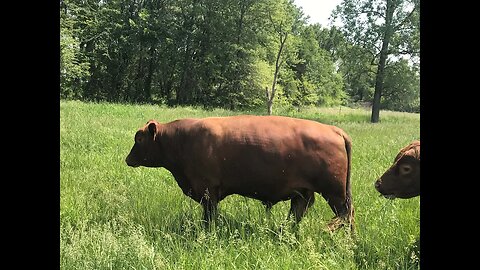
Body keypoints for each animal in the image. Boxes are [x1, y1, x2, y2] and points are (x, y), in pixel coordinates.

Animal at [125, 115, 354, 229]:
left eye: (139, 138)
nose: (128, 159)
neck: (181, 139)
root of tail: (335, 130)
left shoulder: (208, 193)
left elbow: (209, 218)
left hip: (334, 194)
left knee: (345, 216)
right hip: (304, 193)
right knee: (299, 213)